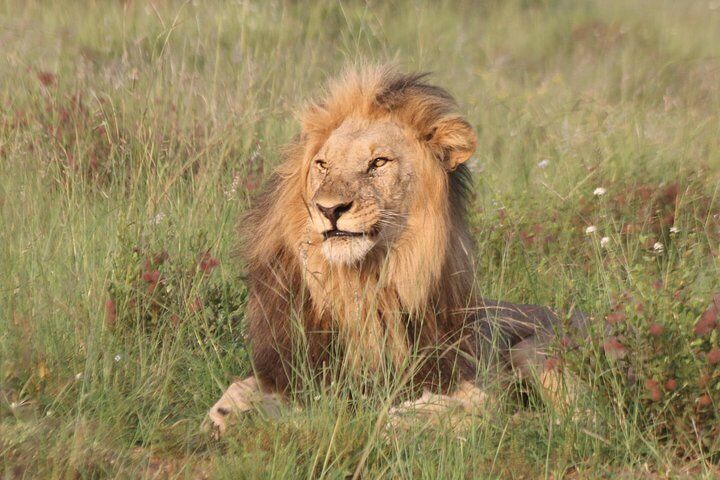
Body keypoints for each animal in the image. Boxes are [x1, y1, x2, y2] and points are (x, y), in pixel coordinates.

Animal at [206, 66, 588, 436]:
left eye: (378, 162)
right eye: (322, 165)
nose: (329, 209)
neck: (361, 283)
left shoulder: (467, 367)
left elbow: (481, 405)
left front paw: (408, 417)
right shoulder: (294, 366)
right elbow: (242, 390)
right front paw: (231, 413)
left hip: (537, 348)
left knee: (577, 418)